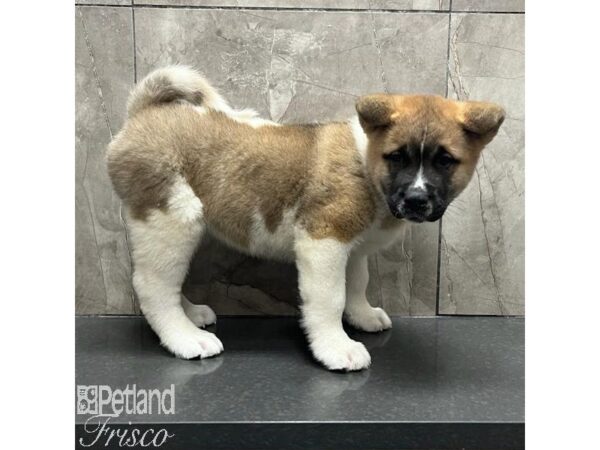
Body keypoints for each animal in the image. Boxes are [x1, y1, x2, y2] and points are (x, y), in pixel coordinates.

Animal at [109, 65, 506, 370]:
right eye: (396, 157)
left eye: (445, 160)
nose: (416, 200)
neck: (365, 164)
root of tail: (141, 114)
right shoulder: (323, 241)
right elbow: (330, 299)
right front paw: (336, 348)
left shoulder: (352, 247)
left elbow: (356, 284)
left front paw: (362, 316)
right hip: (169, 220)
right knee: (153, 286)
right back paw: (185, 338)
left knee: (168, 283)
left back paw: (190, 315)